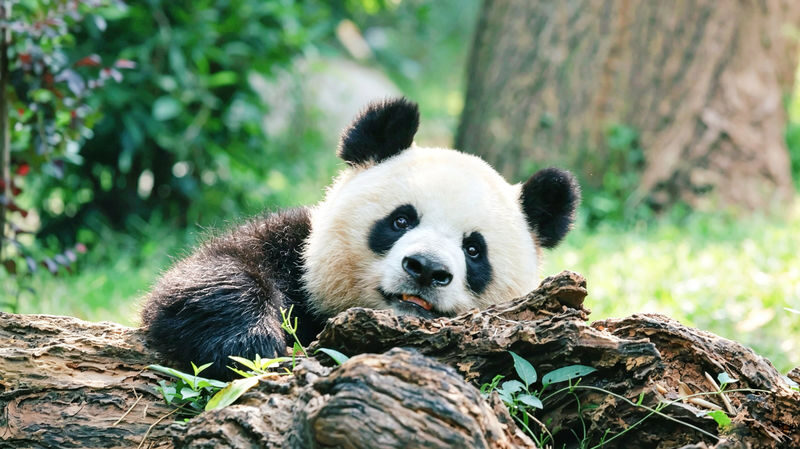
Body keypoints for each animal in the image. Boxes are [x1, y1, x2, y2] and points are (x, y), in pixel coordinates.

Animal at [141, 97, 579, 380]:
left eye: (474, 250)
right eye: (401, 220)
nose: (426, 269)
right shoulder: (296, 249)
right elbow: (210, 273)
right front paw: (252, 344)